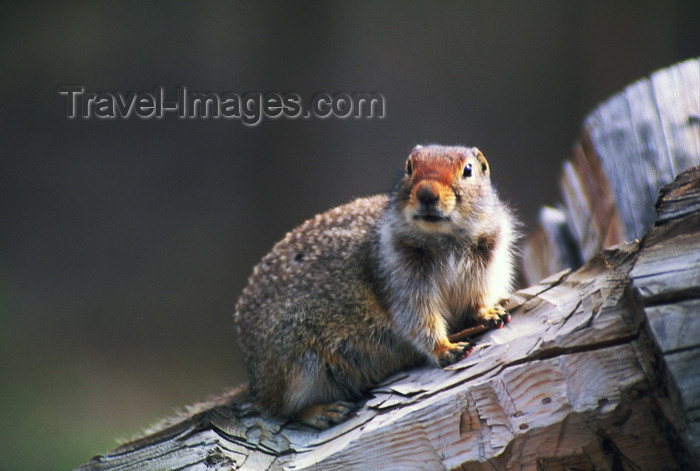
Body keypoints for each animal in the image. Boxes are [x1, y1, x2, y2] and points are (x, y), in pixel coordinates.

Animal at [232, 146, 516, 430]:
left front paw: (490, 314)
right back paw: (327, 411)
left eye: (468, 169)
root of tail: (255, 383)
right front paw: (447, 349)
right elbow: (419, 319)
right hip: (298, 365)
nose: (426, 193)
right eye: (409, 166)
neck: (445, 240)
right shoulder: (402, 281)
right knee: (284, 409)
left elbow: (477, 300)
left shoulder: (484, 268)